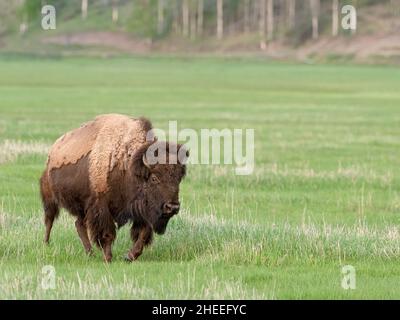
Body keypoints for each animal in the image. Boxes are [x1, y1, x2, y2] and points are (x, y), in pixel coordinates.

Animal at [40, 114, 189, 262]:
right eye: (154, 178)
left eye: (178, 179)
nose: (173, 207)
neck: (127, 166)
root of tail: (52, 152)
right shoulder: (101, 207)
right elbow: (108, 234)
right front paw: (108, 258)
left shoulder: (143, 211)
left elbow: (143, 233)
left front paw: (130, 256)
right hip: (50, 198)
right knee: (49, 220)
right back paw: (46, 244)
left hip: (83, 207)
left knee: (79, 224)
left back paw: (90, 253)